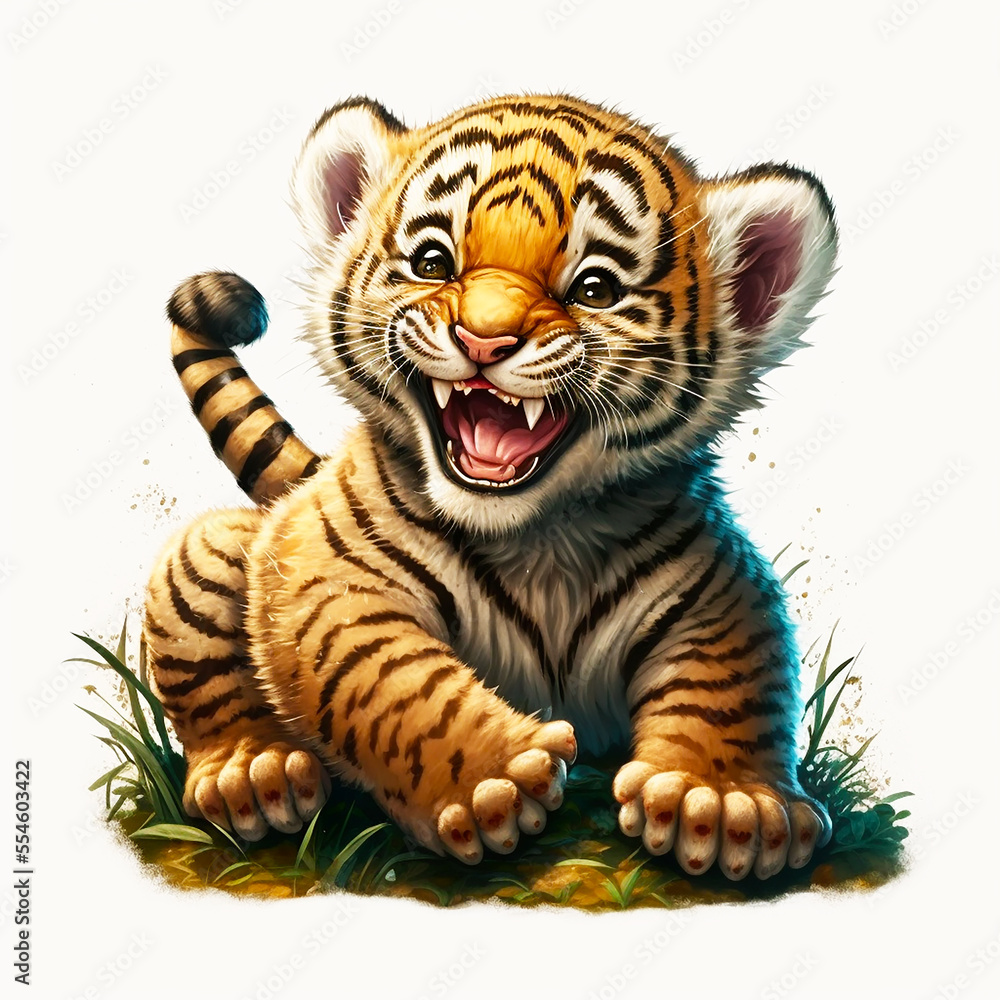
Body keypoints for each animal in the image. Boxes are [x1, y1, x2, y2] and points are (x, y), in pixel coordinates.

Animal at [143, 93, 839, 881]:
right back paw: (253, 772)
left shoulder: (719, 587)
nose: (483, 338)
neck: (538, 539)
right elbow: (390, 680)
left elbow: (733, 684)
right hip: (212, 553)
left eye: (594, 287)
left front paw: (723, 804)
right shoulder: (329, 574)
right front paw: (494, 782)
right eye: (433, 262)